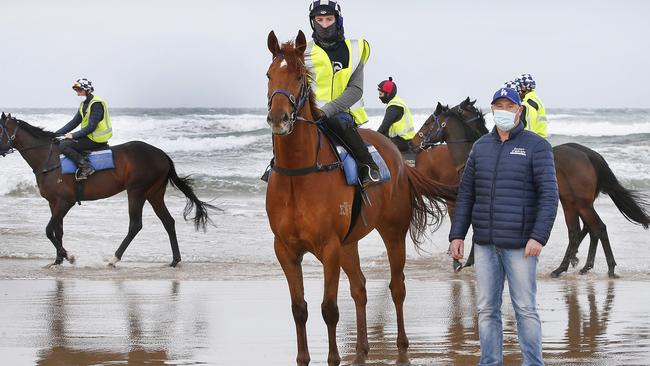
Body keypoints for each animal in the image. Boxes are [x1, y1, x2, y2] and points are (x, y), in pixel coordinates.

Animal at [0, 111, 218, 266]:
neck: (49, 160)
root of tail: (161, 154)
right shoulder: (54, 203)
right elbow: (57, 231)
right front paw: (58, 260)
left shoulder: (65, 202)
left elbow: (48, 230)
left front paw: (69, 257)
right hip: (154, 193)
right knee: (168, 222)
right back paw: (174, 260)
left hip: (136, 191)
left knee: (135, 225)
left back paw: (114, 259)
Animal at [266, 31, 454, 366]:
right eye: (269, 74)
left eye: (300, 76)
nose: (279, 117)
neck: (299, 174)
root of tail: (399, 158)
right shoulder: (285, 250)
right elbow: (299, 308)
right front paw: (304, 358)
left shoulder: (329, 248)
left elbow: (329, 309)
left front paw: (333, 358)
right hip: (349, 243)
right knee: (360, 288)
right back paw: (363, 349)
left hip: (392, 231)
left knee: (397, 287)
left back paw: (402, 346)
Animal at [418, 100, 648, 278]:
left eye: (428, 122)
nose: (414, 142)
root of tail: (590, 154)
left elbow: (476, 234)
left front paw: (466, 262)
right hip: (573, 203)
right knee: (584, 230)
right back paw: (578, 266)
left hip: (579, 203)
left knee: (595, 229)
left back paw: (602, 268)